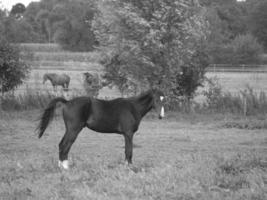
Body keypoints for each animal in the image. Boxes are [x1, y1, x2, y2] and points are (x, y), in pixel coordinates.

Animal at [35, 89, 165, 169]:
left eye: (164, 100)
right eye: (156, 100)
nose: (161, 116)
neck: (132, 108)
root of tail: (67, 102)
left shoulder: (127, 134)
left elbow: (127, 151)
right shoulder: (128, 134)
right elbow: (129, 151)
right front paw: (129, 167)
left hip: (70, 130)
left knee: (61, 144)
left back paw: (61, 167)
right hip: (73, 130)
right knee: (65, 145)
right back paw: (66, 168)